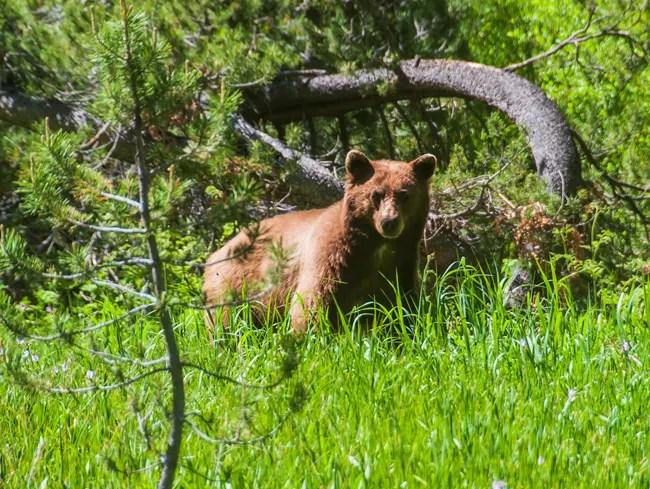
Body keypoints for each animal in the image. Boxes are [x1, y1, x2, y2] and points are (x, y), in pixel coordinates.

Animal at [203, 149, 436, 332]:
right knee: (226, 321)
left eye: (404, 194)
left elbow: (401, 306)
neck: (375, 246)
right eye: (376, 195)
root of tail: (218, 252)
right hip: (233, 285)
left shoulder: (400, 264)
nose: (389, 222)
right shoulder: (331, 257)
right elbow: (312, 303)